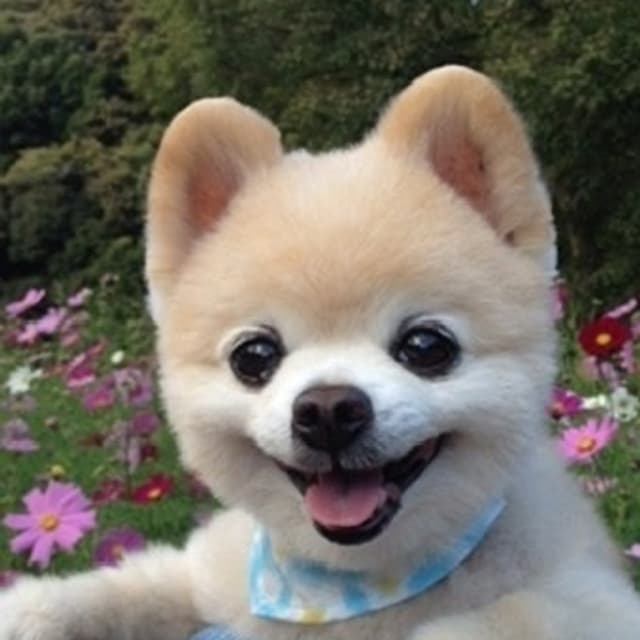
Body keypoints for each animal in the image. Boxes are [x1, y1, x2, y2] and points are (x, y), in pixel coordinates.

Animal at [2, 65, 640, 640]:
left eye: (426, 346)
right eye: (254, 356)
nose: (329, 410)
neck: (344, 588)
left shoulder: (591, 596)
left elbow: (507, 615)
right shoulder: (211, 576)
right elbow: (138, 586)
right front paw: (32, 612)